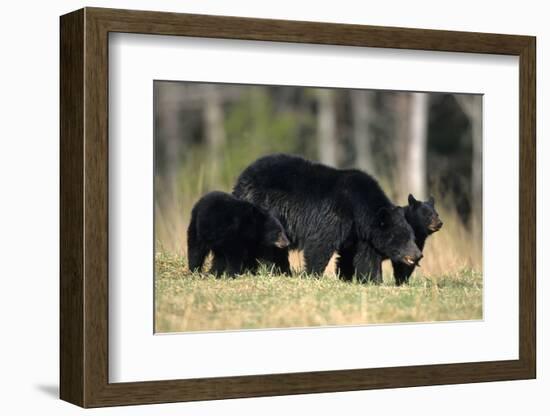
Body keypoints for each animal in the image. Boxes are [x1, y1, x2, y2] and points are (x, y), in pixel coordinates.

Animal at [233, 154, 422, 284]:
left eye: (412, 236)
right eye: (403, 238)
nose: (418, 254)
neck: (359, 211)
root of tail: (242, 178)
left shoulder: (360, 234)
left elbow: (363, 256)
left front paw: (371, 279)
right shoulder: (336, 215)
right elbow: (320, 244)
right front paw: (313, 275)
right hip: (264, 208)